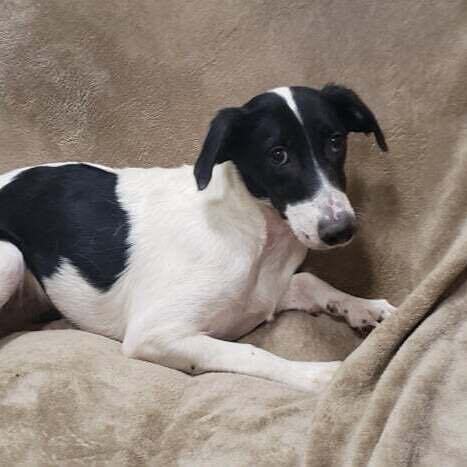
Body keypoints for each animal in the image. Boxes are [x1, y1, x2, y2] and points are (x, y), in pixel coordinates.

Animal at [0, 86, 394, 394]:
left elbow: (312, 281)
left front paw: (363, 306)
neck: (256, 236)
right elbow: (251, 352)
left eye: (335, 141)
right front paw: (315, 374)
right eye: (278, 155)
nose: (340, 230)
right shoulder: (153, 334)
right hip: (10, 259)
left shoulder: (267, 293)